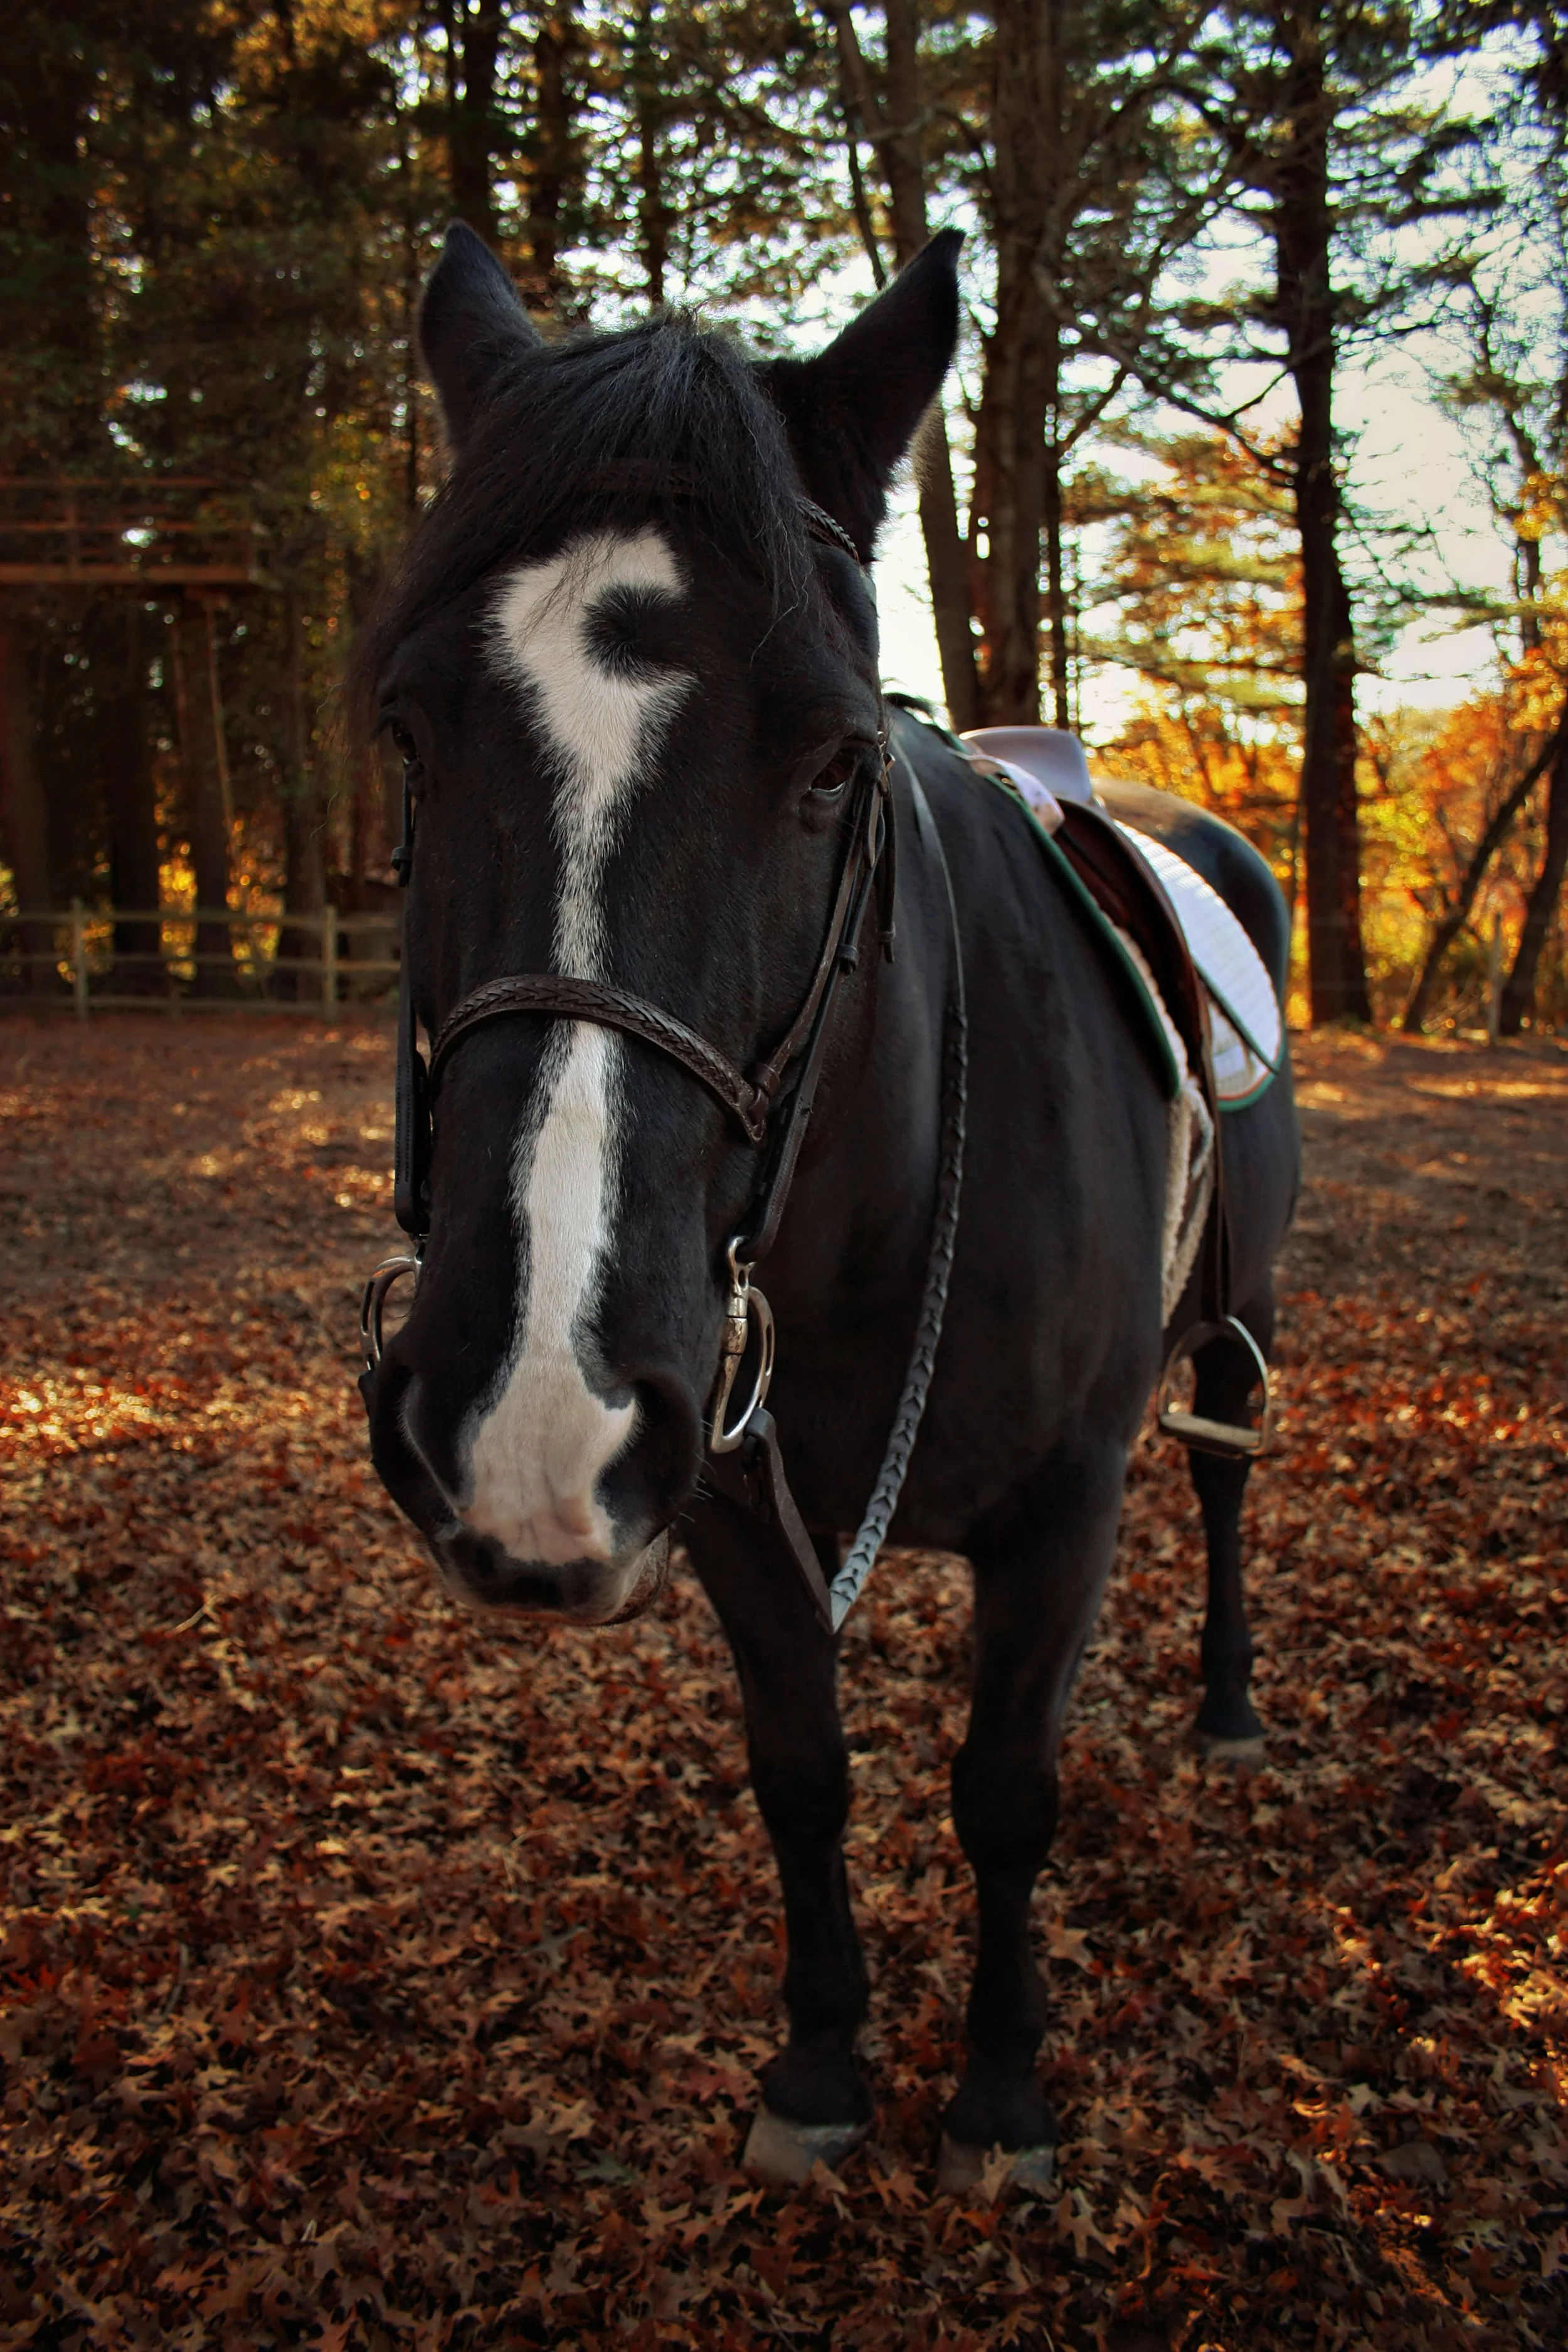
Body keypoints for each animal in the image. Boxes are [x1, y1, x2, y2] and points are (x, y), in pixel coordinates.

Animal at [355, 221, 1301, 2191]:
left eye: (834, 759)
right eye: (409, 737)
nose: (527, 1411)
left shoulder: (1068, 1501)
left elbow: (1005, 1788)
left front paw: (1001, 2090)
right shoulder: (723, 1502)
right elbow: (803, 1774)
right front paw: (817, 2065)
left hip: (1233, 1343)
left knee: (1225, 1485)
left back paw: (1229, 1706)